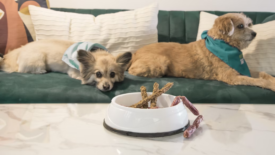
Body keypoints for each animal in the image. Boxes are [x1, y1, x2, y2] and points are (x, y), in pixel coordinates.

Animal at [0, 39, 133, 91]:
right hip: (38, 60)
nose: (106, 87)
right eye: (98, 74)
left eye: (112, 74)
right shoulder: (74, 72)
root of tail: (20, 49)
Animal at [129, 13, 275, 91]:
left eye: (249, 24)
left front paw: (271, 79)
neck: (223, 44)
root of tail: (135, 53)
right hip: (161, 62)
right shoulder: (231, 77)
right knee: (132, 71)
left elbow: (261, 74)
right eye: (240, 26)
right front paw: (270, 85)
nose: (255, 33)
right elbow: (256, 81)